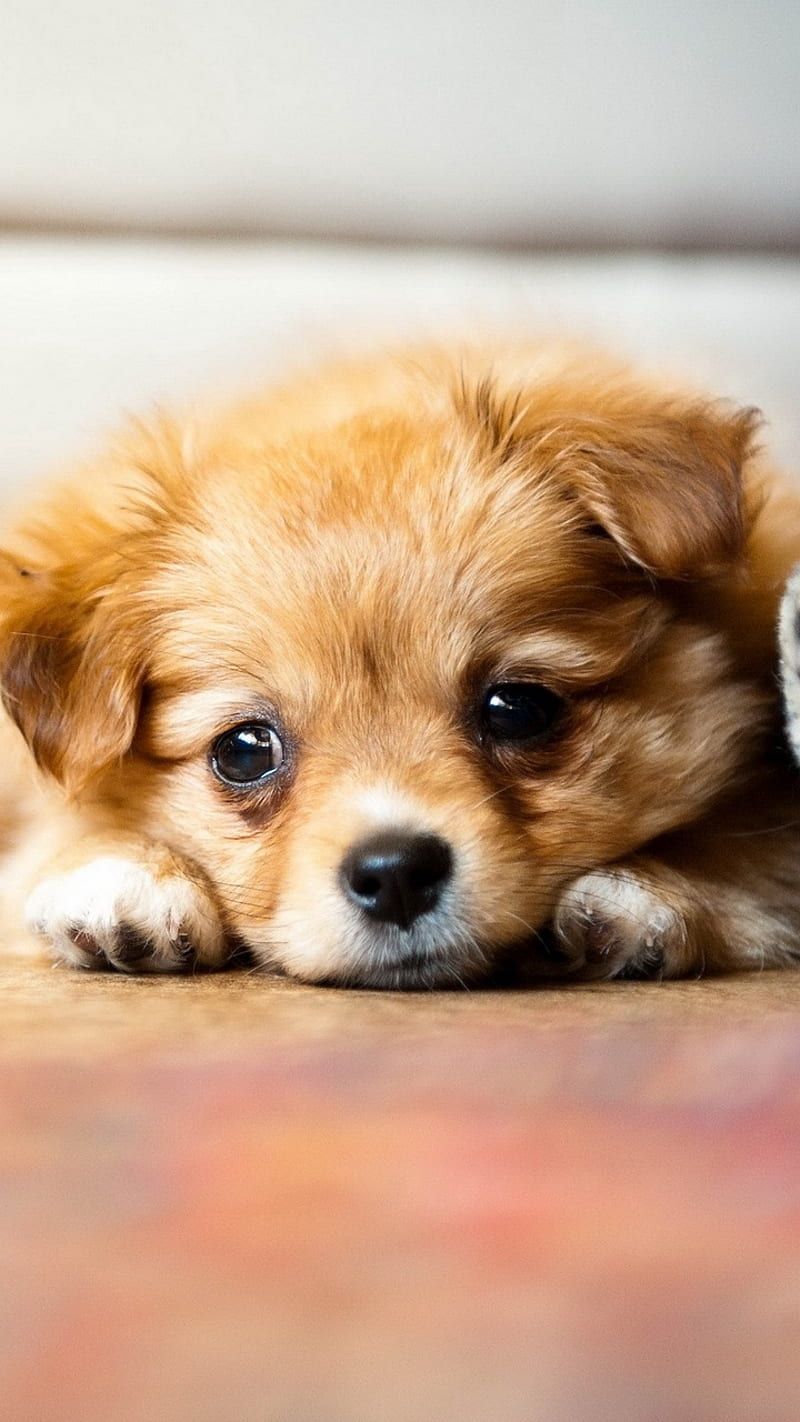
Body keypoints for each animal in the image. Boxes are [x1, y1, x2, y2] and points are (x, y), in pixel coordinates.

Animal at [1, 342, 800, 989]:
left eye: (518, 709)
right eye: (243, 751)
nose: (396, 875)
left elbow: (745, 841)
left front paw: (648, 892)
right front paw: (119, 875)